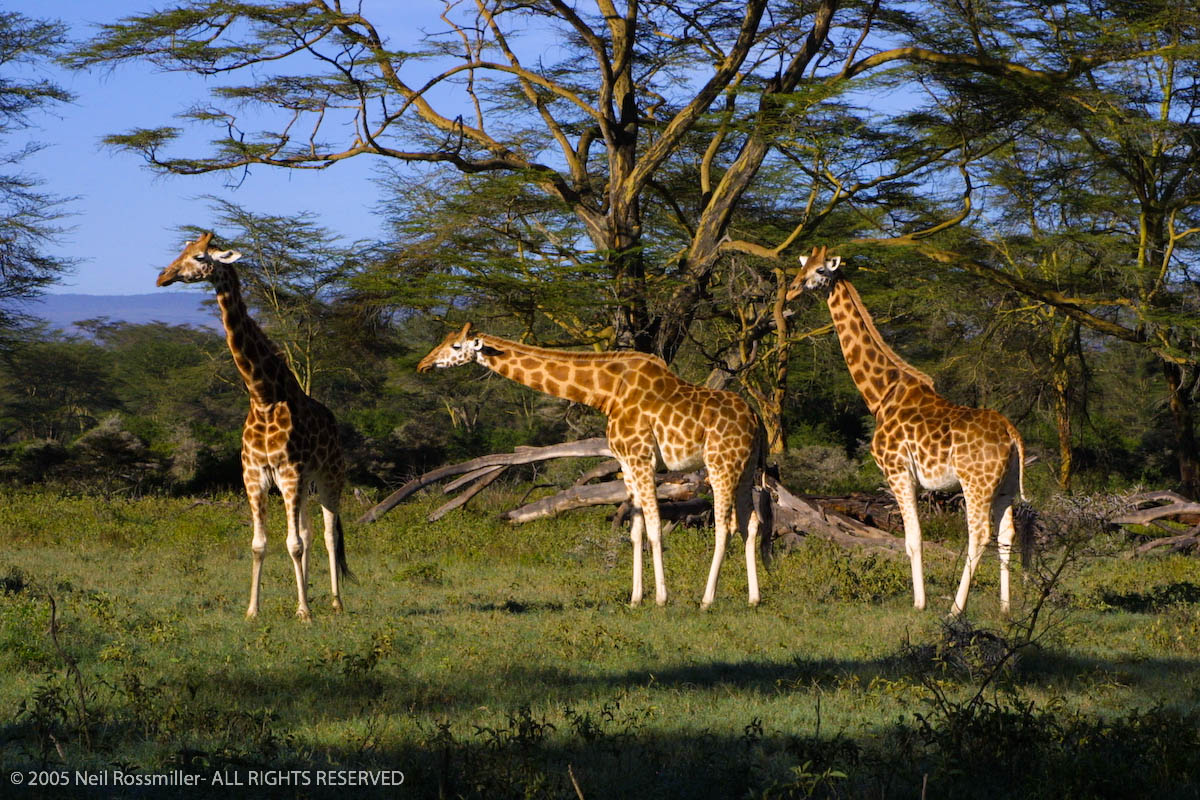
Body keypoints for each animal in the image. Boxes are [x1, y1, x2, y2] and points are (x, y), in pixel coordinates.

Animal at [157, 231, 350, 621]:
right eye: (181, 250)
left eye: (200, 257)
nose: (162, 277)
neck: (263, 397)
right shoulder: (255, 474)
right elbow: (261, 544)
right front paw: (253, 610)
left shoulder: (289, 472)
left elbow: (293, 544)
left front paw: (304, 612)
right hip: (305, 482)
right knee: (307, 532)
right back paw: (309, 595)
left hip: (329, 477)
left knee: (327, 533)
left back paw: (335, 602)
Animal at [418, 323, 769, 608]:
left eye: (455, 346)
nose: (423, 364)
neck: (608, 393)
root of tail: (756, 419)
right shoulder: (627, 463)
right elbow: (635, 530)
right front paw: (635, 598)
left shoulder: (642, 458)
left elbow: (655, 527)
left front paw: (661, 598)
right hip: (746, 467)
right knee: (751, 522)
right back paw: (754, 598)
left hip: (720, 464)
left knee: (725, 525)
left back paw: (707, 600)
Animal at [787, 246, 1025, 615]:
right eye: (803, 267)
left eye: (821, 271)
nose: (792, 290)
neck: (881, 395)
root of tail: (1012, 435)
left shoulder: (897, 472)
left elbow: (912, 539)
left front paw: (919, 602)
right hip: (1006, 486)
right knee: (1007, 534)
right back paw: (1005, 608)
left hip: (976, 483)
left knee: (979, 534)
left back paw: (956, 608)